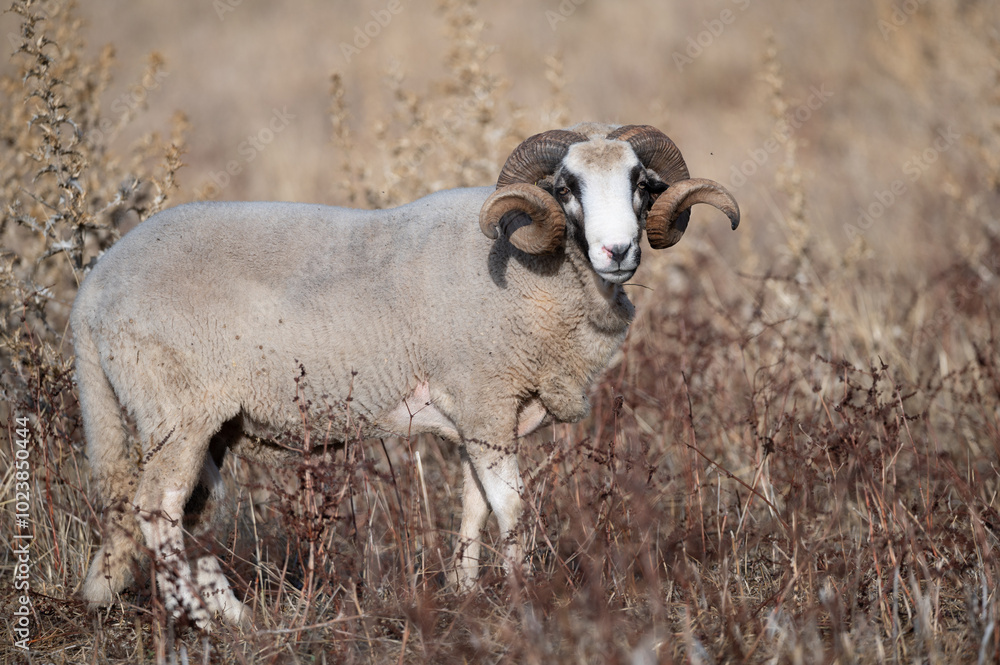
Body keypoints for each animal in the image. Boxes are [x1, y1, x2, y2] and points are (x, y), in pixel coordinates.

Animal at [73, 123, 740, 627]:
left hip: (202, 423)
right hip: (176, 411)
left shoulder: (482, 415)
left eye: (641, 183)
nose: (618, 251)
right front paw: (527, 594)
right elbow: (511, 507)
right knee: (155, 509)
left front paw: (466, 593)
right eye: (565, 187)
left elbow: (474, 505)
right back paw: (200, 619)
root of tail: (95, 287)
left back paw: (226, 610)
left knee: (180, 513)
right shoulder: (485, 399)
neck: (540, 277)